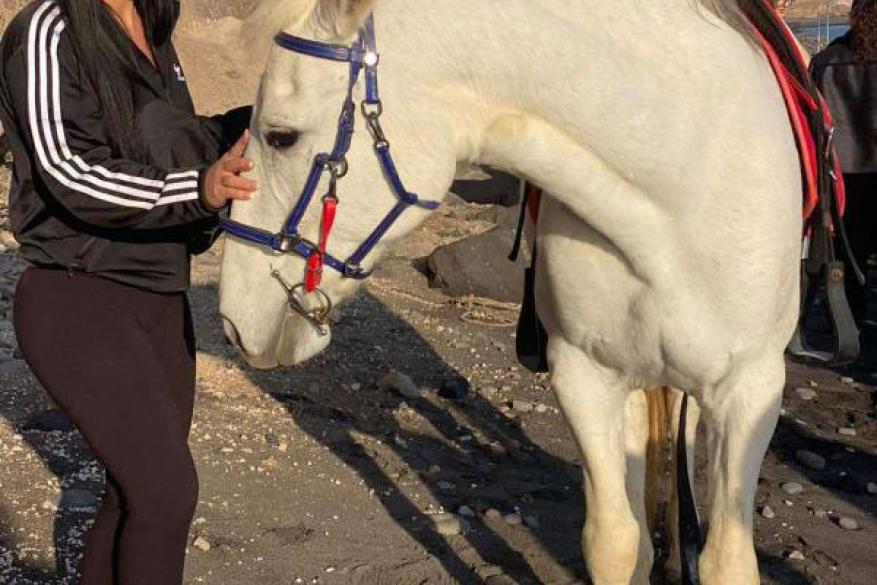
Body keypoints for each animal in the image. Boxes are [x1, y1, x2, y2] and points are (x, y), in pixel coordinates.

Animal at [218, 1, 802, 583]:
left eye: (281, 136)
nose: (232, 321)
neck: (678, 191)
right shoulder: (587, 378)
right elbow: (615, 541)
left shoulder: (749, 391)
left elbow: (726, 560)